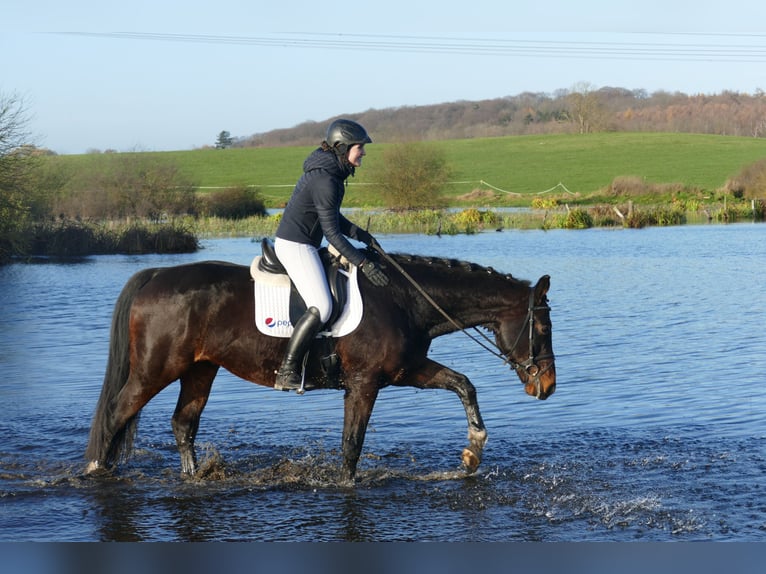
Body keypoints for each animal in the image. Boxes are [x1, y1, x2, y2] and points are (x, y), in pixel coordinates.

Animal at [85, 248, 560, 486]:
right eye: (541, 325)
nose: (548, 386)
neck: (405, 299)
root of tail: (156, 275)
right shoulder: (365, 383)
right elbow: (352, 444)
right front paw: (345, 484)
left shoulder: (406, 370)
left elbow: (463, 383)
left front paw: (472, 452)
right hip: (155, 370)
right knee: (116, 414)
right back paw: (95, 472)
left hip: (200, 369)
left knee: (183, 424)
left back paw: (192, 477)